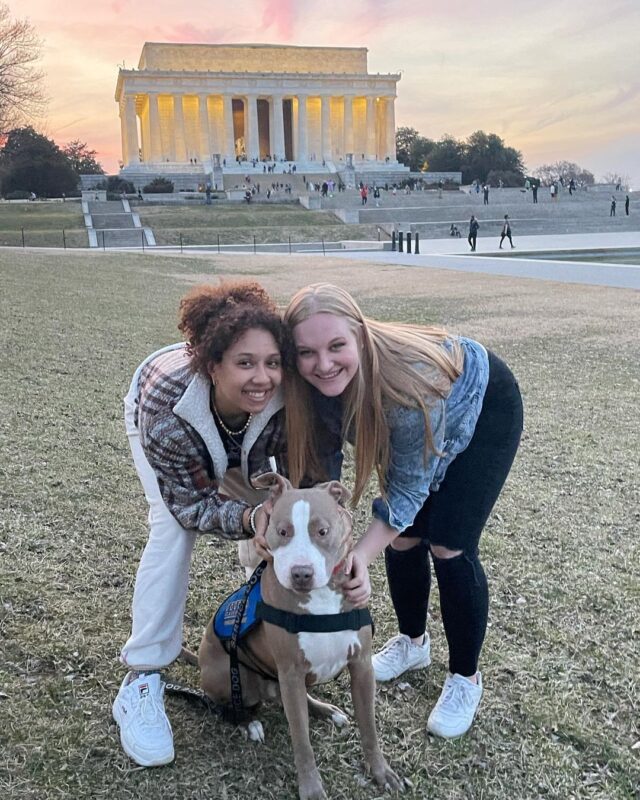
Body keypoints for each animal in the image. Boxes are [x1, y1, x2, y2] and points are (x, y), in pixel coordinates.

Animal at [198, 476, 402, 800]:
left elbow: (369, 728)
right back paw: (248, 723)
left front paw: (381, 771)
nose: (301, 573)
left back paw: (325, 711)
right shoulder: (290, 671)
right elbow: (302, 741)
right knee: (227, 704)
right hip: (231, 677)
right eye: (283, 531)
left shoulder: (361, 665)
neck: (320, 597)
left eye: (323, 531)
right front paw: (311, 788)